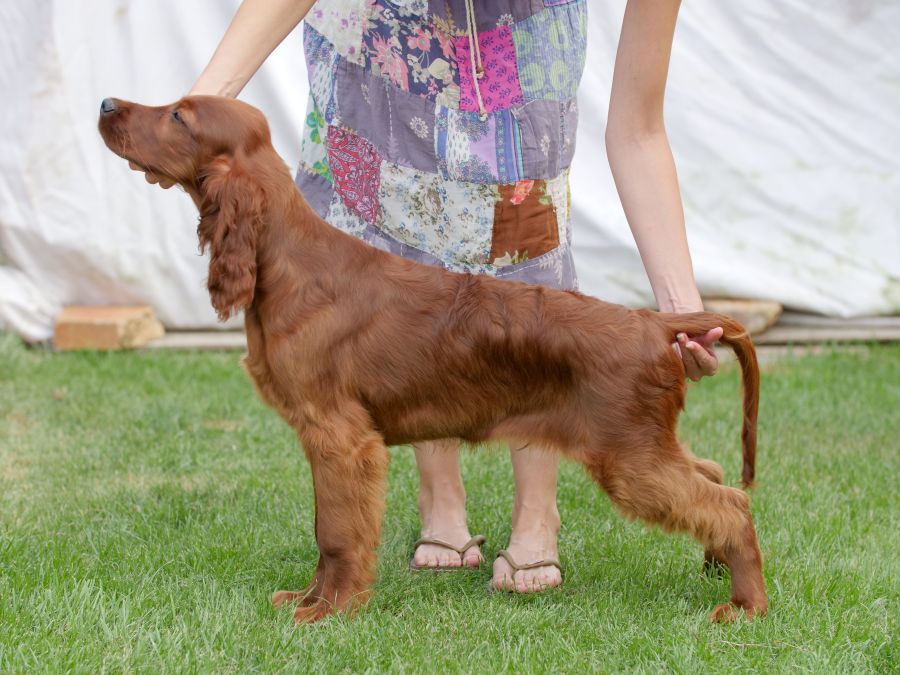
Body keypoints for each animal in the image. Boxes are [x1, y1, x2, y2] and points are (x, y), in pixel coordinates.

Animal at [102, 93, 768, 624]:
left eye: (178, 116)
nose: (107, 103)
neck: (286, 263)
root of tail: (652, 322)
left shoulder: (341, 437)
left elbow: (336, 532)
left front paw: (329, 609)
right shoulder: (327, 439)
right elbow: (325, 530)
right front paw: (309, 598)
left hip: (627, 454)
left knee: (730, 503)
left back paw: (746, 606)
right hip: (641, 445)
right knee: (713, 473)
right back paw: (716, 570)